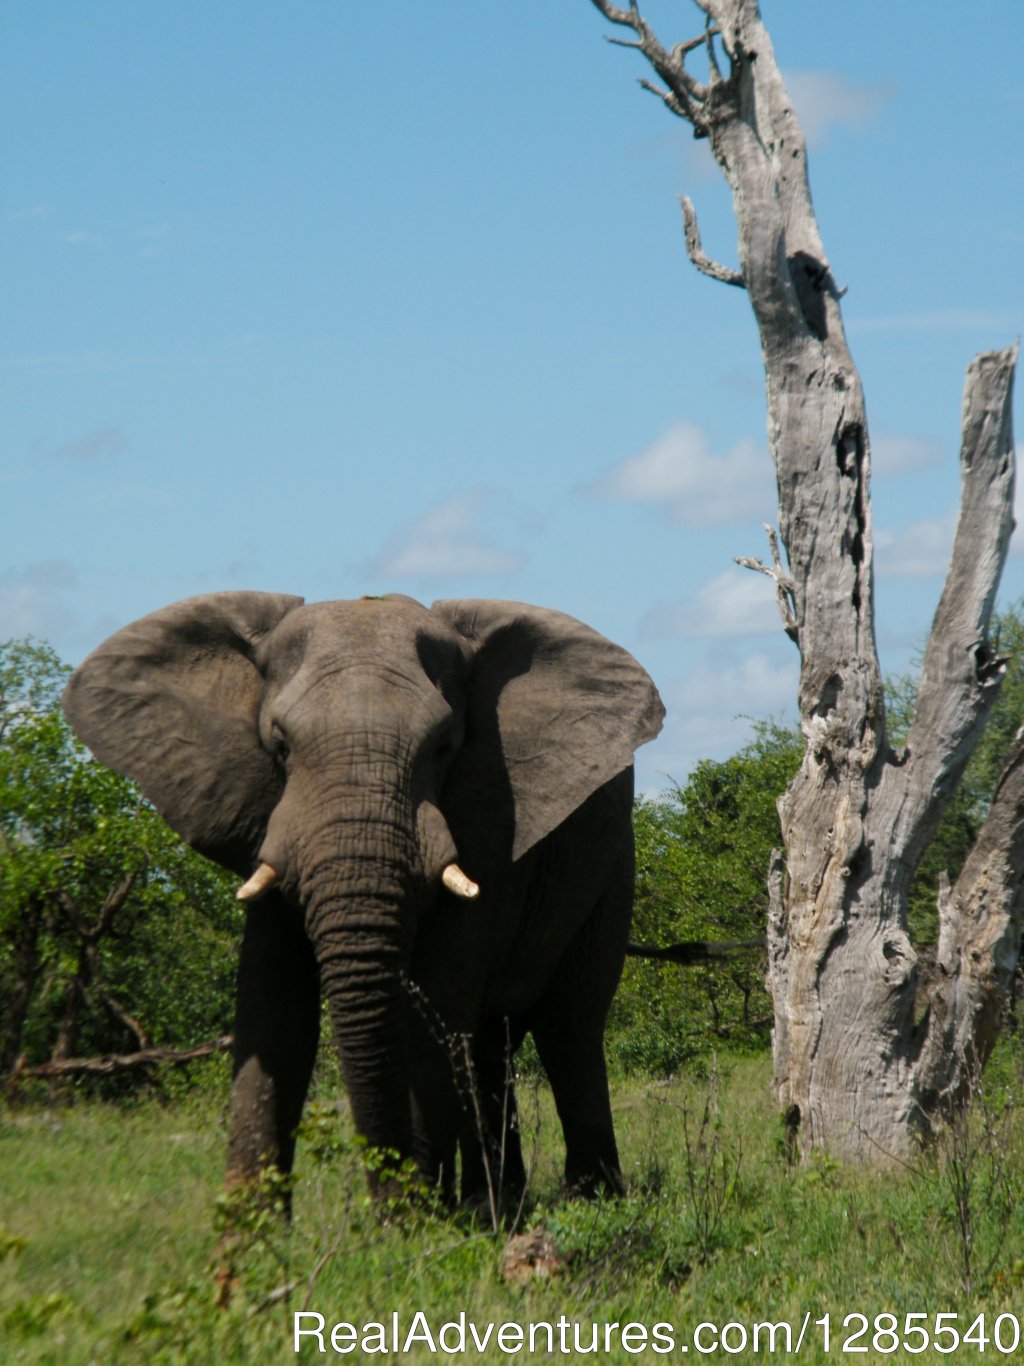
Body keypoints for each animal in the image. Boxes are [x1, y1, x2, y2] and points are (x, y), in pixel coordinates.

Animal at [66, 592, 674, 1202]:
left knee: (569, 1027)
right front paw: (250, 1229)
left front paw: (416, 1218)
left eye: (443, 747)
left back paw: (586, 1199)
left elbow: (433, 1005)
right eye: (279, 745)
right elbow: (273, 1012)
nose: (391, 1203)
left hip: (612, 868)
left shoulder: (490, 824)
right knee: (491, 1046)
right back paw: (497, 1204)